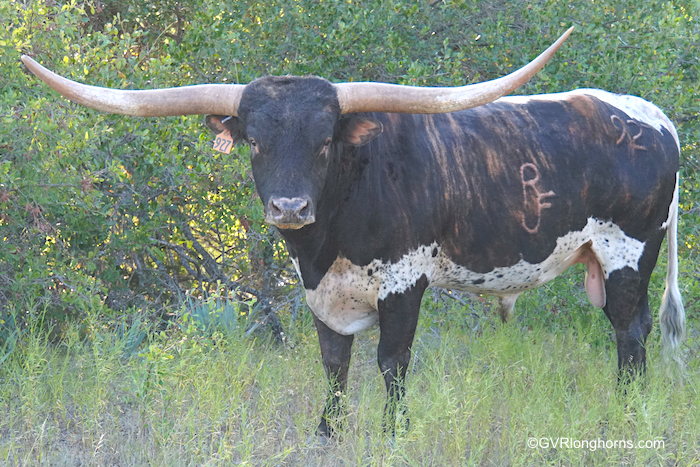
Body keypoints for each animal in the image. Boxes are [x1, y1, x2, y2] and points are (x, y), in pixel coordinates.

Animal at [20, 27, 684, 440]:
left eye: (324, 141)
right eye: (254, 142)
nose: (289, 207)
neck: (329, 239)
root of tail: (651, 116)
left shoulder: (405, 278)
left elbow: (392, 362)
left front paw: (395, 433)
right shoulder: (319, 289)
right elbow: (333, 362)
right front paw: (328, 432)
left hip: (629, 251)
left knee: (629, 332)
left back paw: (626, 413)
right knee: (632, 329)